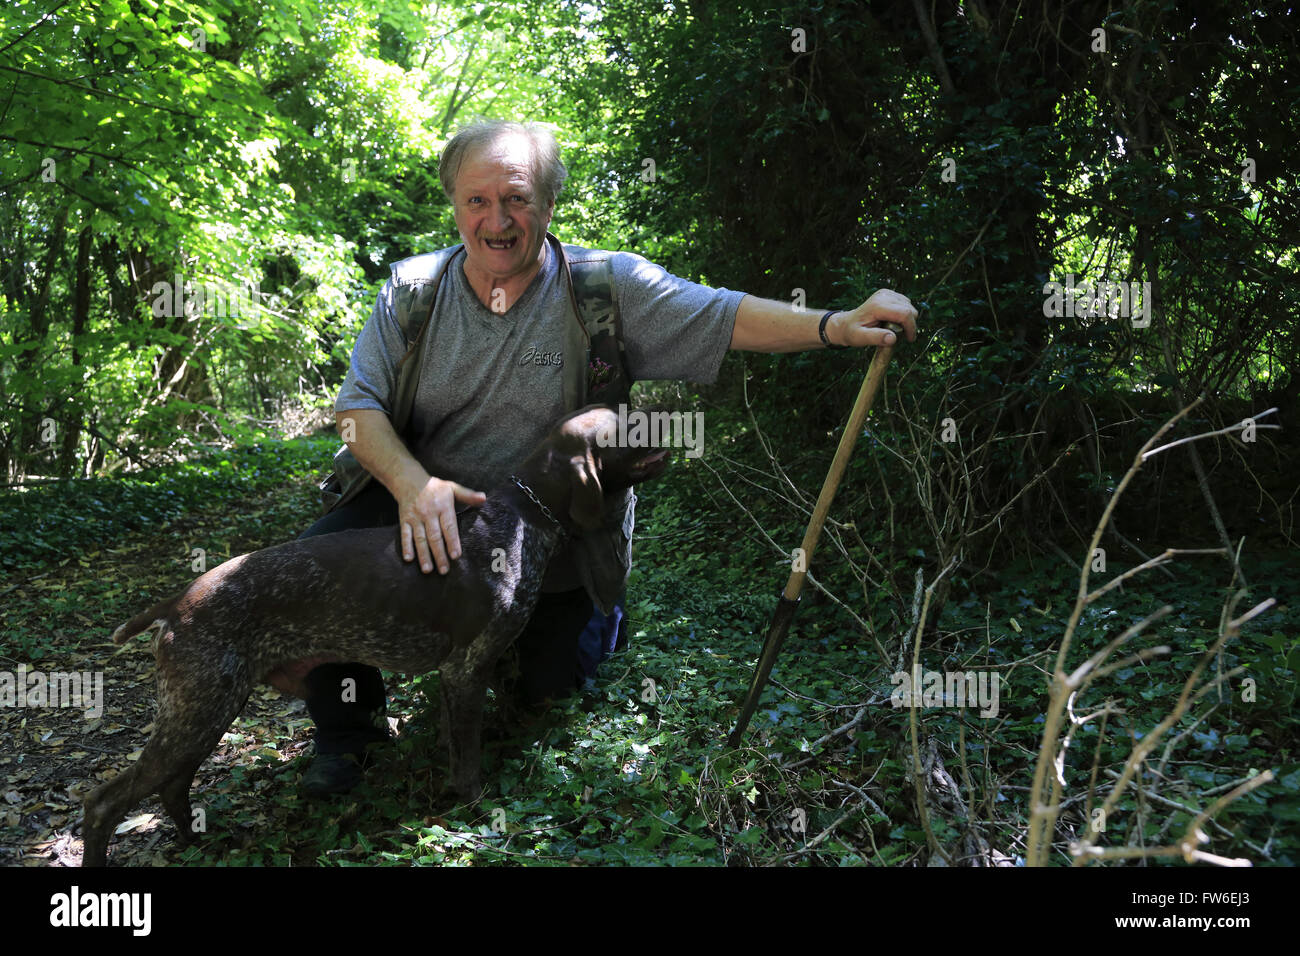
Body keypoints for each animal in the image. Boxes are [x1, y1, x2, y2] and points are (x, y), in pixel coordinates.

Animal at [82, 405, 670, 868]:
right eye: (626, 425)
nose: (674, 421)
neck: (523, 516)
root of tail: (177, 601)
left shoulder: (470, 672)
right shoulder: (466, 667)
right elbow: (469, 764)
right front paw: (477, 810)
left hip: (206, 712)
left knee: (172, 787)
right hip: (200, 708)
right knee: (105, 802)